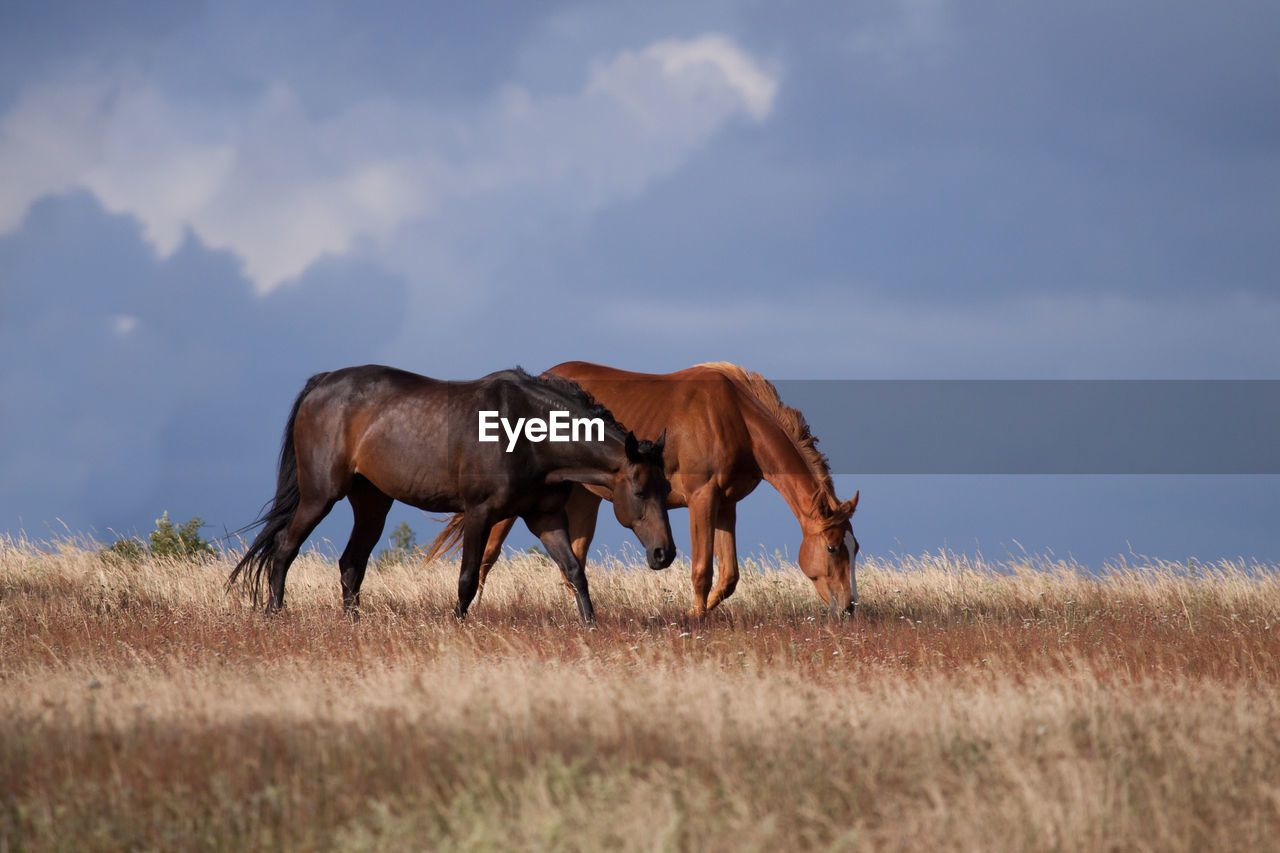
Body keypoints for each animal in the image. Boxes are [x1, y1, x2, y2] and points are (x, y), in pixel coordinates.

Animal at [225, 361, 675, 622]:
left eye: (666, 487)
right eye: (639, 490)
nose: (664, 554)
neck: (527, 432)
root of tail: (320, 385)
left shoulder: (545, 517)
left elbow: (575, 572)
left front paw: (590, 626)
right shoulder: (479, 513)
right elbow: (468, 579)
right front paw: (457, 626)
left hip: (372, 503)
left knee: (351, 564)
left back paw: (353, 623)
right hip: (321, 495)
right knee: (285, 548)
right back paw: (275, 616)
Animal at [427, 361, 860, 617]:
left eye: (855, 549)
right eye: (833, 548)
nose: (849, 608)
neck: (734, 417)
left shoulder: (726, 504)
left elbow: (729, 576)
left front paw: (702, 614)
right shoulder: (702, 499)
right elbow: (702, 570)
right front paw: (694, 621)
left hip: (582, 500)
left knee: (572, 562)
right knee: (487, 556)